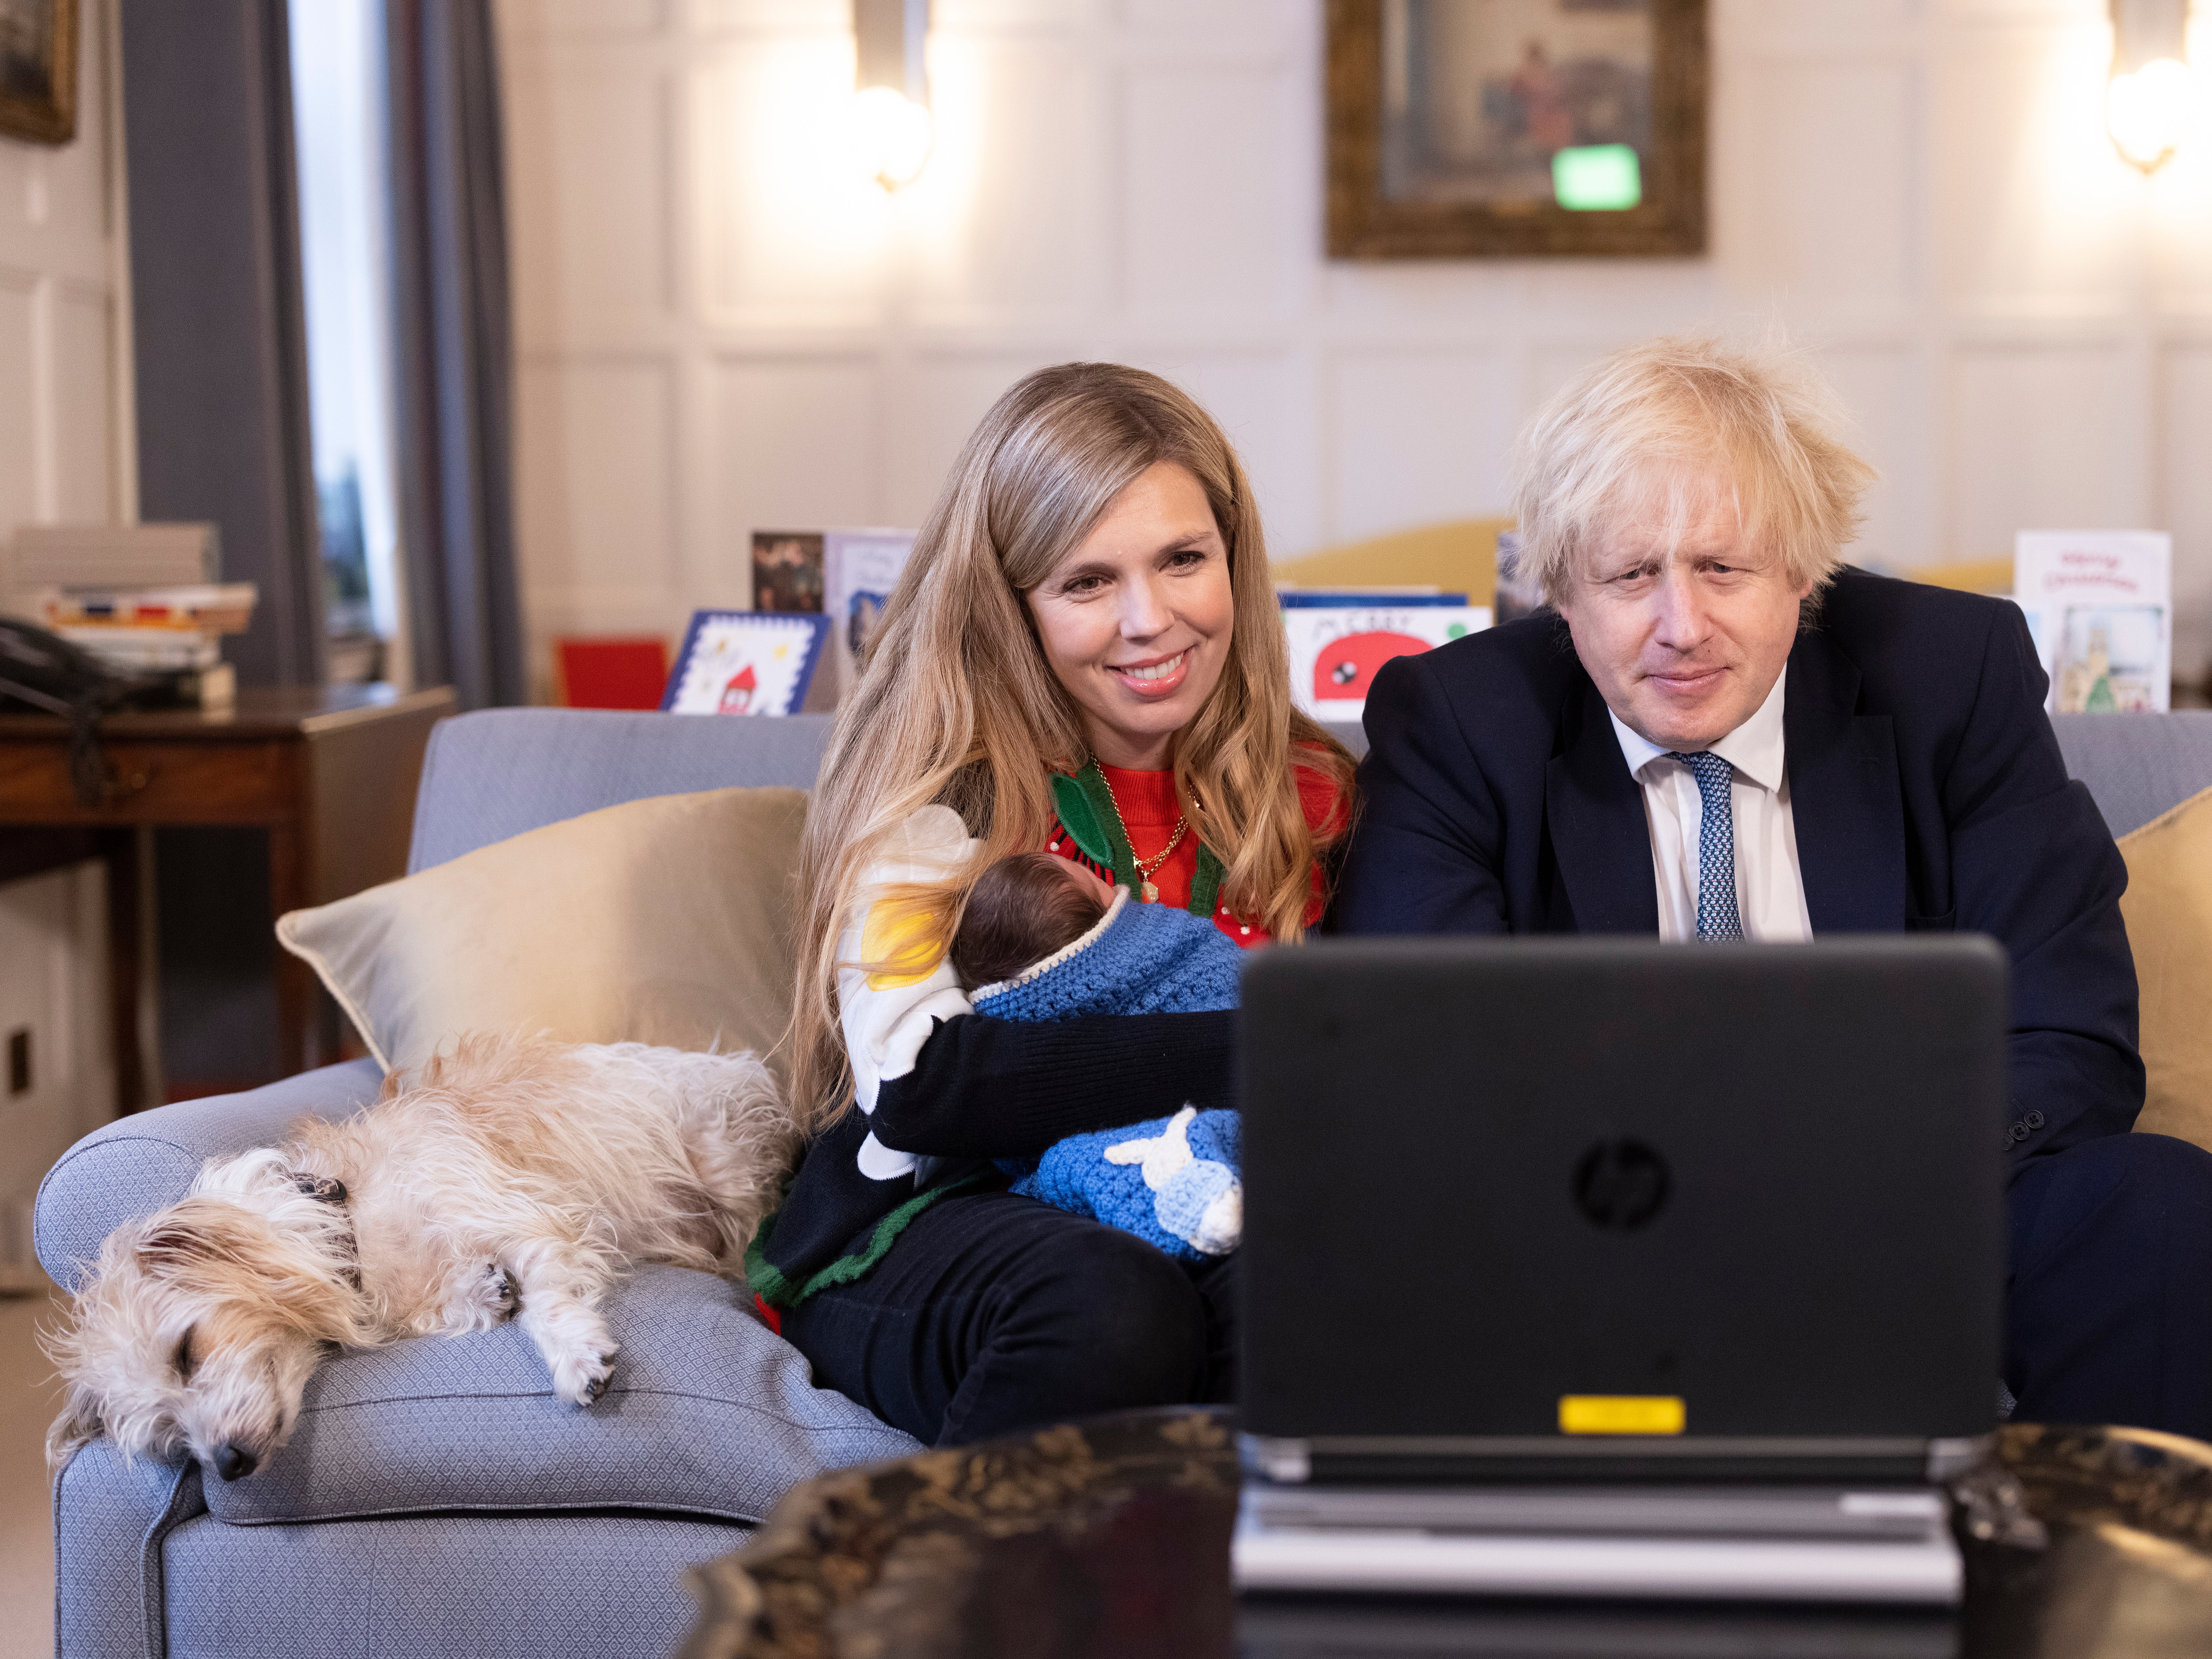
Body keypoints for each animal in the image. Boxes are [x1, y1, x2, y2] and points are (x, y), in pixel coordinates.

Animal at [43, 1040, 796, 1477]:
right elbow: (475, 1299)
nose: (226, 1464)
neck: (351, 1218)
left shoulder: (522, 1215)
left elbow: (548, 1304)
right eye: (170, 1438)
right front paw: (481, 1291)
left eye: (187, 1352)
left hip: (724, 1166)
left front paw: (574, 1354)